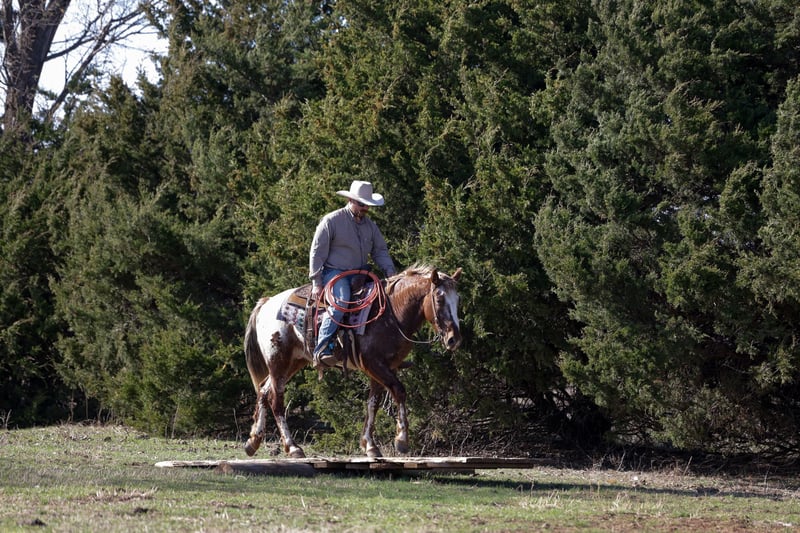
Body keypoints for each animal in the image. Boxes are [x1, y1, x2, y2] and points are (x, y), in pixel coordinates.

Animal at [243, 265, 463, 458]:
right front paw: (401, 439)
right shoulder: (374, 364)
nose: (454, 339)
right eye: (439, 298)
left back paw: (253, 441)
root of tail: (266, 303)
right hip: (278, 361)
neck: (392, 314)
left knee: (263, 390)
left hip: (294, 362)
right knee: (276, 400)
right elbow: (399, 391)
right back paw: (292, 447)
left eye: (457, 299)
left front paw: (370, 445)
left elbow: (373, 403)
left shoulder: (384, 368)